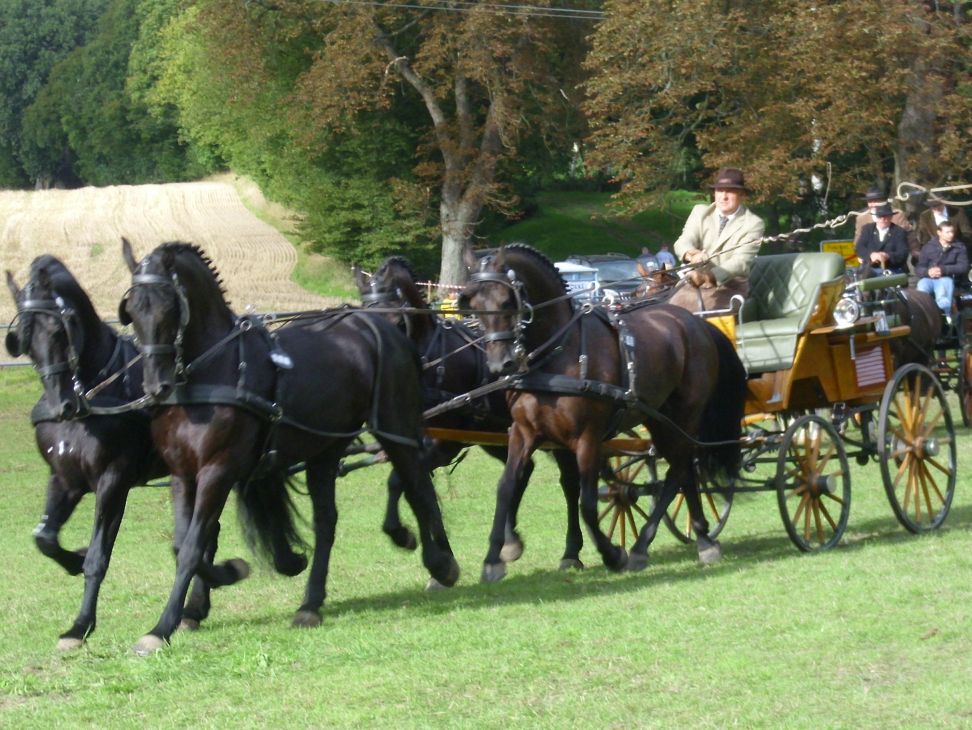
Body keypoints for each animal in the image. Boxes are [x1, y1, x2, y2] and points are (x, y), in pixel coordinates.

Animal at [4, 255, 247, 648]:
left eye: (59, 331)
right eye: (23, 341)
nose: (61, 407)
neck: (93, 397)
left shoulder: (113, 480)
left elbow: (99, 556)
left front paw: (81, 624)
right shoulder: (64, 478)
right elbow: (44, 538)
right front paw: (74, 560)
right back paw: (196, 608)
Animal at [117, 240, 460, 656]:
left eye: (170, 306)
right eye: (132, 310)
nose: (156, 387)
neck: (211, 371)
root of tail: (379, 327)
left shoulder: (218, 469)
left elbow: (193, 545)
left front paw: (162, 625)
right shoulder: (184, 474)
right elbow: (185, 543)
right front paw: (213, 590)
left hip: (394, 428)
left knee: (417, 486)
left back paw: (441, 562)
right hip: (325, 450)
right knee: (327, 522)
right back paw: (311, 603)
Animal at [356, 256, 584, 576]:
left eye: (399, 321)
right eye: (365, 321)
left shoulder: (444, 446)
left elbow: (400, 482)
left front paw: (405, 537)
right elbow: (416, 489)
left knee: (569, 483)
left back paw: (570, 552)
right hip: (493, 434)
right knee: (523, 472)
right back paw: (510, 541)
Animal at [460, 243, 748, 576]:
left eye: (507, 301)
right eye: (474, 305)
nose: (499, 364)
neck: (558, 353)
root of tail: (695, 322)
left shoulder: (587, 438)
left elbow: (586, 502)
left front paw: (611, 554)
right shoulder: (524, 432)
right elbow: (507, 487)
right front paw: (494, 558)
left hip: (686, 415)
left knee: (679, 468)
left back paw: (663, 543)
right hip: (659, 418)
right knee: (683, 470)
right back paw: (693, 538)